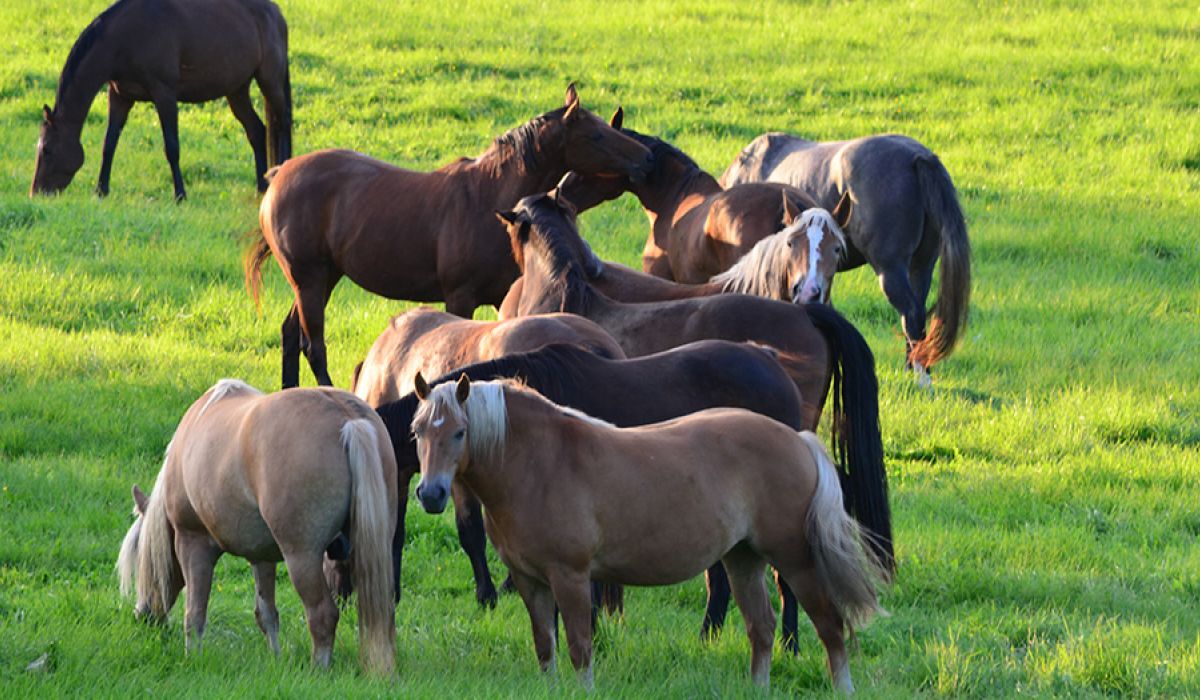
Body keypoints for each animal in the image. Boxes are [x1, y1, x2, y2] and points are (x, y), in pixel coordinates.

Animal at [31, 0, 291, 200]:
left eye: (47, 150)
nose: (36, 193)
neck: (125, 38)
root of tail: (276, 14)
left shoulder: (164, 94)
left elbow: (172, 147)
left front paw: (180, 195)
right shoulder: (120, 96)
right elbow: (109, 144)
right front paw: (101, 191)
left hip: (270, 80)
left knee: (283, 124)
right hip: (237, 91)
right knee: (257, 131)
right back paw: (261, 187)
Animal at [115, 380, 398, 675]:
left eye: (140, 558)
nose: (142, 616)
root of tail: (347, 417)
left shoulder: (192, 544)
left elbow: (194, 614)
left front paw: (192, 658)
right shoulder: (261, 556)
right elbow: (266, 614)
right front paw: (276, 658)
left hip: (303, 558)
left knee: (322, 615)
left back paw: (318, 670)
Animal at [243, 84, 654, 389]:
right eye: (597, 135)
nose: (645, 158)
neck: (487, 197)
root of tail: (279, 175)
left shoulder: (499, 297)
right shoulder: (459, 297)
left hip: (323, 277)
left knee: (290, 333)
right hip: (310, 278)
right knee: (313, 345)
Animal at [329, 339, 813, 648]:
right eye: (417, 433)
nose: (343, 601)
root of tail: (772, 362)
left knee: (784, 577)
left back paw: (789, 644)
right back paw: (710, 636)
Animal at [412, 377, 886, 691]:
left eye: (460, 432)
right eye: (418, 432)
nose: (431, 494)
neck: (540, 463)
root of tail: (799, 439)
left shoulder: (571, 577)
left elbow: (579, 647)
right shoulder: (530, 581)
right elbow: (545, 648)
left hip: (796, 561)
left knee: (830, 627)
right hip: (742, 559)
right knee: (762, 629)